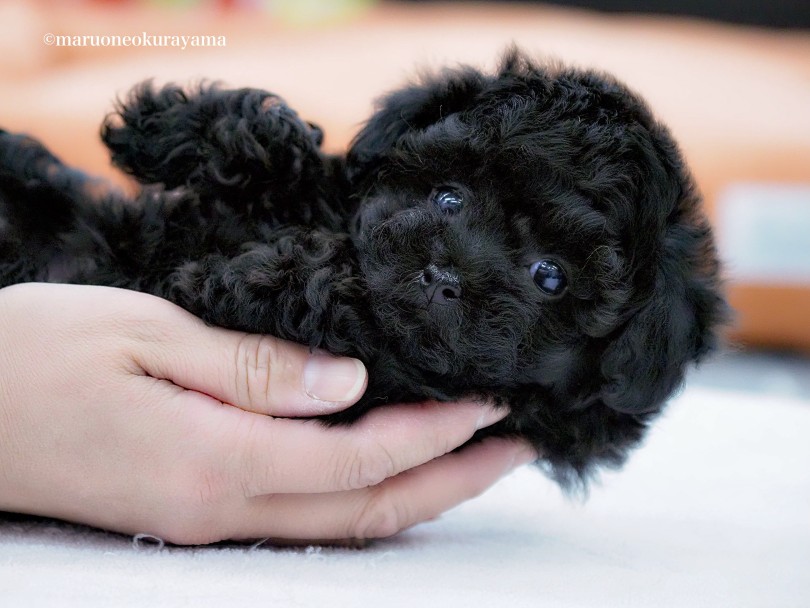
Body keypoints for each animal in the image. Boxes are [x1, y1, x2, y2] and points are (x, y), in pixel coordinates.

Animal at [0, 52, 724, 490]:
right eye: (449, 198)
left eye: (551, 276)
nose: (441, 277)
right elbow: (295, 163)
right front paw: (172, 123)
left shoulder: (405, 383)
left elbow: (345, 317)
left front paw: (259, 277)